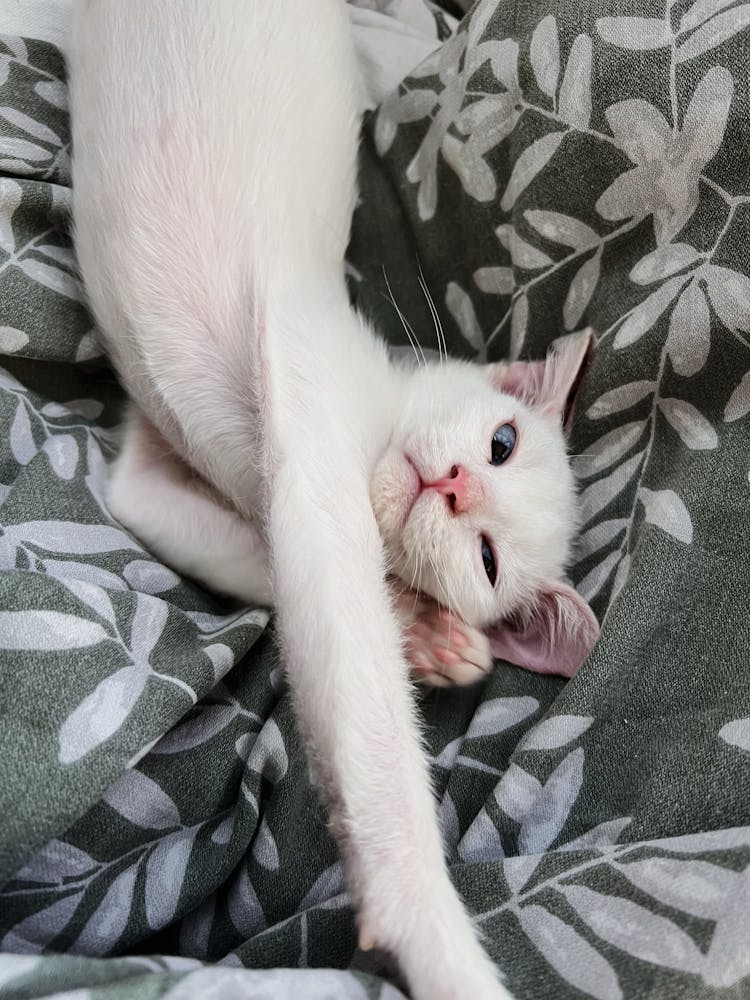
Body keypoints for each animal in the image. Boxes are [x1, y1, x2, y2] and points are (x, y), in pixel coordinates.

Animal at [69, 3, 600, 996]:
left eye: (486, 560)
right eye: (502, 443)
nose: (456, 484)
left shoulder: (151, 485)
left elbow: (252, 556)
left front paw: (428, 633)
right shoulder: (313, 448)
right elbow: (362, 697)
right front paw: (442, 947)